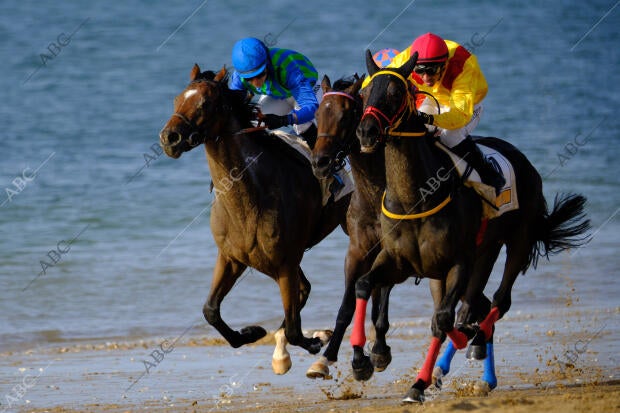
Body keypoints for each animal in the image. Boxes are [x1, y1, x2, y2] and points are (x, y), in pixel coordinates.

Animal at [159, 64, 354, 374]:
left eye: (205, 103)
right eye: (177, 99)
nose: (170, 138)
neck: (249, 198)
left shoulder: (285, 263)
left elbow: (295, 328)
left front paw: (314, 342)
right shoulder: (231, 258)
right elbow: (210, 311)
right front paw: (252, 332)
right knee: (304, 290)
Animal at [352, 50, 588, 400]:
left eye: (395, 94)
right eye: (366, 92)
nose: (366, 131)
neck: (416, 197)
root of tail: (527, 164)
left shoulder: (458, 261)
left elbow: (443, 319)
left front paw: (419, 382)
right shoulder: (397, 259)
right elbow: (365, 285)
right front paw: (364, 359)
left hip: (517, 241)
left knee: (499, 301)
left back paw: (475, 352)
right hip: (482, 253)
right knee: (477, 303)